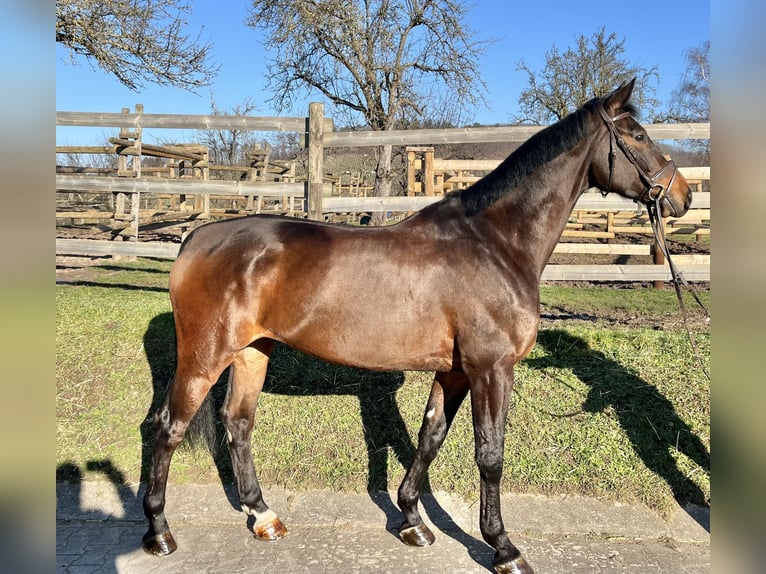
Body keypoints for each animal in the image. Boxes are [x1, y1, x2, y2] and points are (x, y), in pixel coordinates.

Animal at [141, 82, 692, 574]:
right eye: (638, 135)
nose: (682, 196)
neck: (496, 243)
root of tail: (196, 239)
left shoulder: (455, 372)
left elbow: (430, 438)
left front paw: (411, 520)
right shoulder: (491, 369)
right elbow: (490, 454)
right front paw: (503, 548)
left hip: (254, 351)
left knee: (238, 423)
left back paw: (262, 516)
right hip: (205, 356)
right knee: (167, 427)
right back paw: (159, 532)